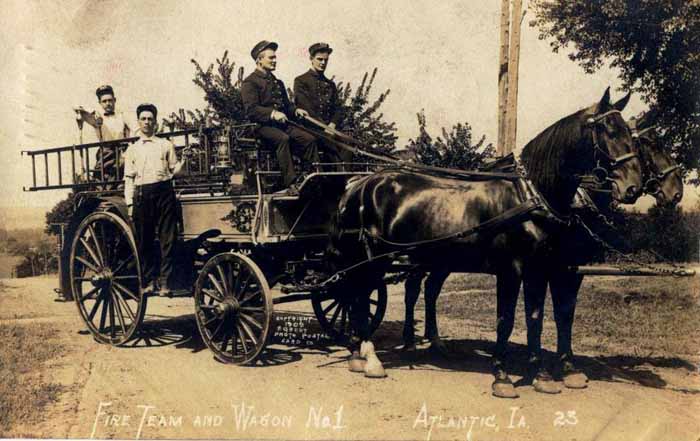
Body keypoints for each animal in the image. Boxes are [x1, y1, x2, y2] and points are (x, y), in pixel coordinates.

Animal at [330, 87, 644, 398]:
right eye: (608, 130)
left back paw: (364, 352)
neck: (530, 196)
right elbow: (506, 320)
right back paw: (370, 357)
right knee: (358, 295)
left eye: (630, 134)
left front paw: (541, 375)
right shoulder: (511, 270)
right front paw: (502, 377)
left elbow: (536, 318)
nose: (633, 188)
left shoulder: (541, 270)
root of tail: (361, 183)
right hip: (373, 256)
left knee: (376, 292)